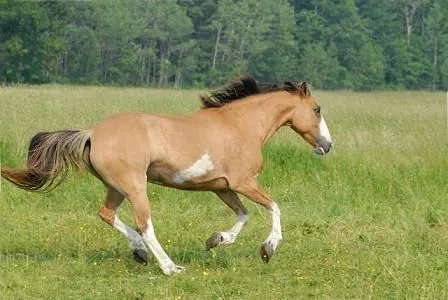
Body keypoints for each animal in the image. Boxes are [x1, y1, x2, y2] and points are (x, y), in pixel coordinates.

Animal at [0, 76, 332, 276]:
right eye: (316, 109)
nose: (327, 146)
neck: (241, 125)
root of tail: (92, 133)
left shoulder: (221, 187)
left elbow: (244, 215)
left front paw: (216, 240)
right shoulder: (244, 182)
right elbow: (274, 207)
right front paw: (268, 249)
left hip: (116, 187)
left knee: (107, 214)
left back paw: (139, 253)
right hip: (136, 187)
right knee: (145, 225)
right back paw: (170, 267)